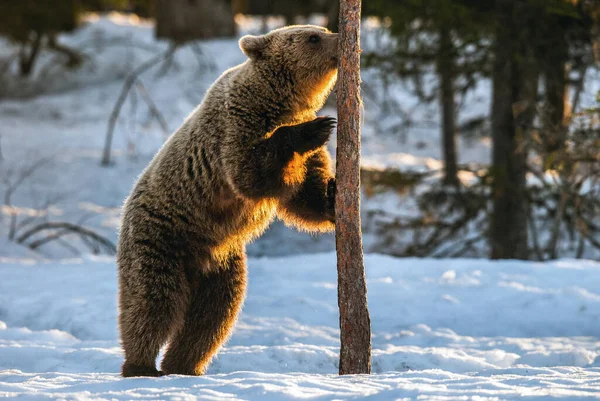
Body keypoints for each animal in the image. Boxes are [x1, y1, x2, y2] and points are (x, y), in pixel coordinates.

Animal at [117, 25, 340, 376]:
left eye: (324, 30)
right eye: (313, 37)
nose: (341, 37)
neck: (280, 100)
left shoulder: (303, 155)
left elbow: (304, 192)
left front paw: (332, 197)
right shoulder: (236, 128)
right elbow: (251, 175)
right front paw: (315, 127)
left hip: (223, 264)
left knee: (214, 315)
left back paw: (184, 366)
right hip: (160, 239)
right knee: (154, 302)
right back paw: (141, 365)